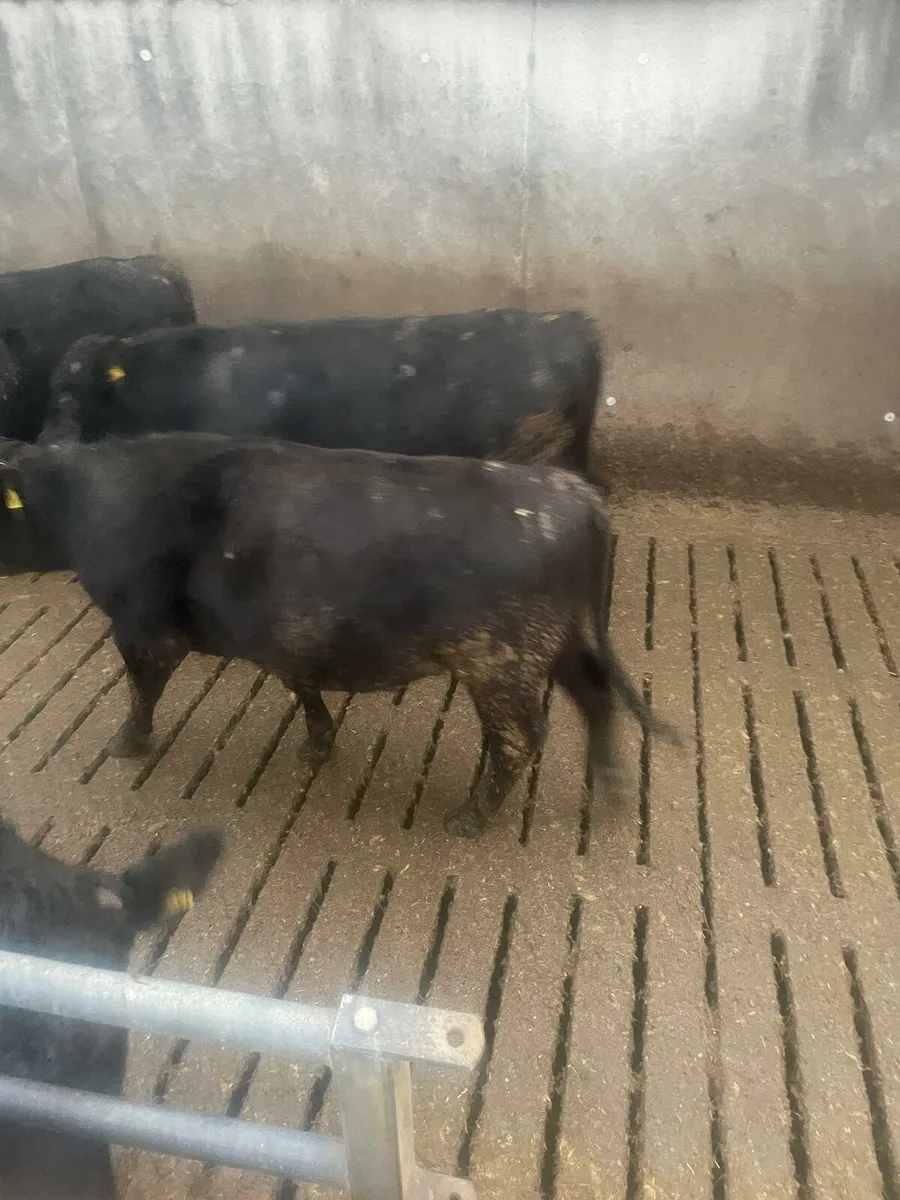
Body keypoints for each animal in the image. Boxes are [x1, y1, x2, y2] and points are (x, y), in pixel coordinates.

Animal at [0, 432, 677, 838]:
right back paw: (614, 788)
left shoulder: (142, 630)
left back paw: (470, 819)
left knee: (520, 739)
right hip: (554, 644)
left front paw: (126, 743)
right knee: (595, 695)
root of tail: (572, 492)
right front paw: (317, 743)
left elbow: (142, 693)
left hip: (503, 661)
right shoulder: (285, 632)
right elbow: (300, 683)